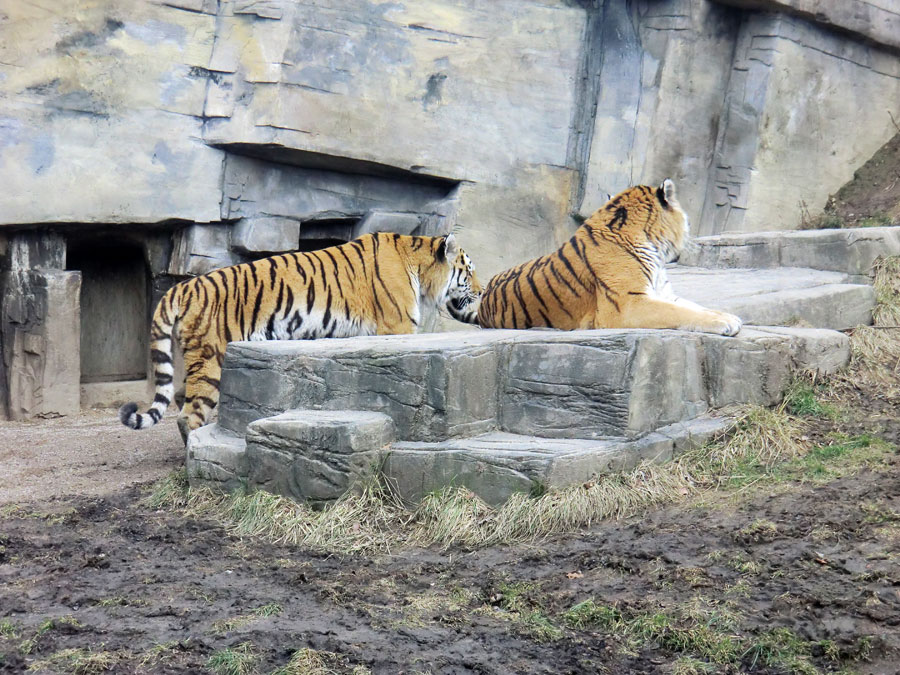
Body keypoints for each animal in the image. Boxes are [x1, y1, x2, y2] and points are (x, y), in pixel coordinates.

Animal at [125, 235, 486, 440]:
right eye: (468, 271)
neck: (418, 267)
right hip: (211, 359)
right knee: (190, 415)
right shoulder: (397, 327)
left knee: (178, 397)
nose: (482, 291)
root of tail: (184, 286)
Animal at [482, 181, 740, 336]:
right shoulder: (628, 304)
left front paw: (727, 316)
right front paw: (725, 323)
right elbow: (680, 312)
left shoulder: (663, 293)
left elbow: (694, 307)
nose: (690, 228)